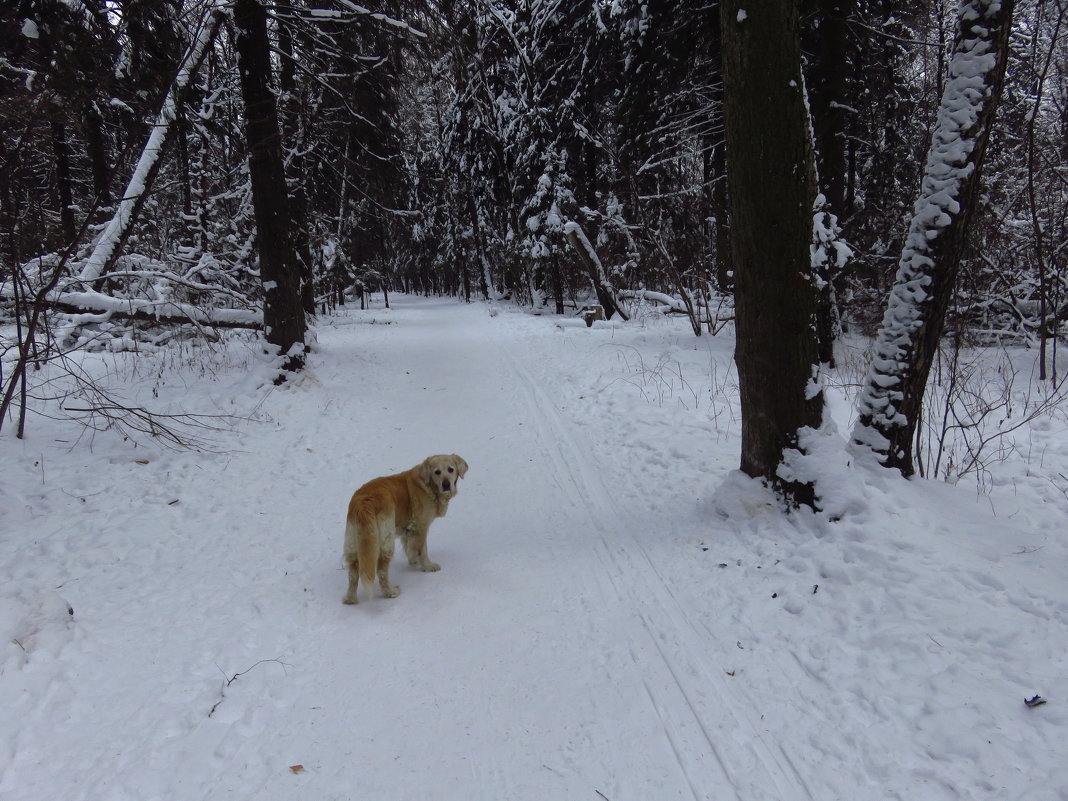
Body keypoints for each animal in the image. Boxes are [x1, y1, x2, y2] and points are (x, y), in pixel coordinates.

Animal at [341, 454, 467, 606]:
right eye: (437, 472)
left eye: (450, 469)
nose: (446, 484)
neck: (427, 486)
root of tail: (364, 503)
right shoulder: (421, 526)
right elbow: (422, 550)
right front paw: (427, 566)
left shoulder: (408, 529)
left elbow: (410, 547)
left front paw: (413, 561)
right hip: (386, 541)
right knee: (381, 571)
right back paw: (391, 592)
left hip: (354, 543)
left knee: (353, 573)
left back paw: (350, 599)